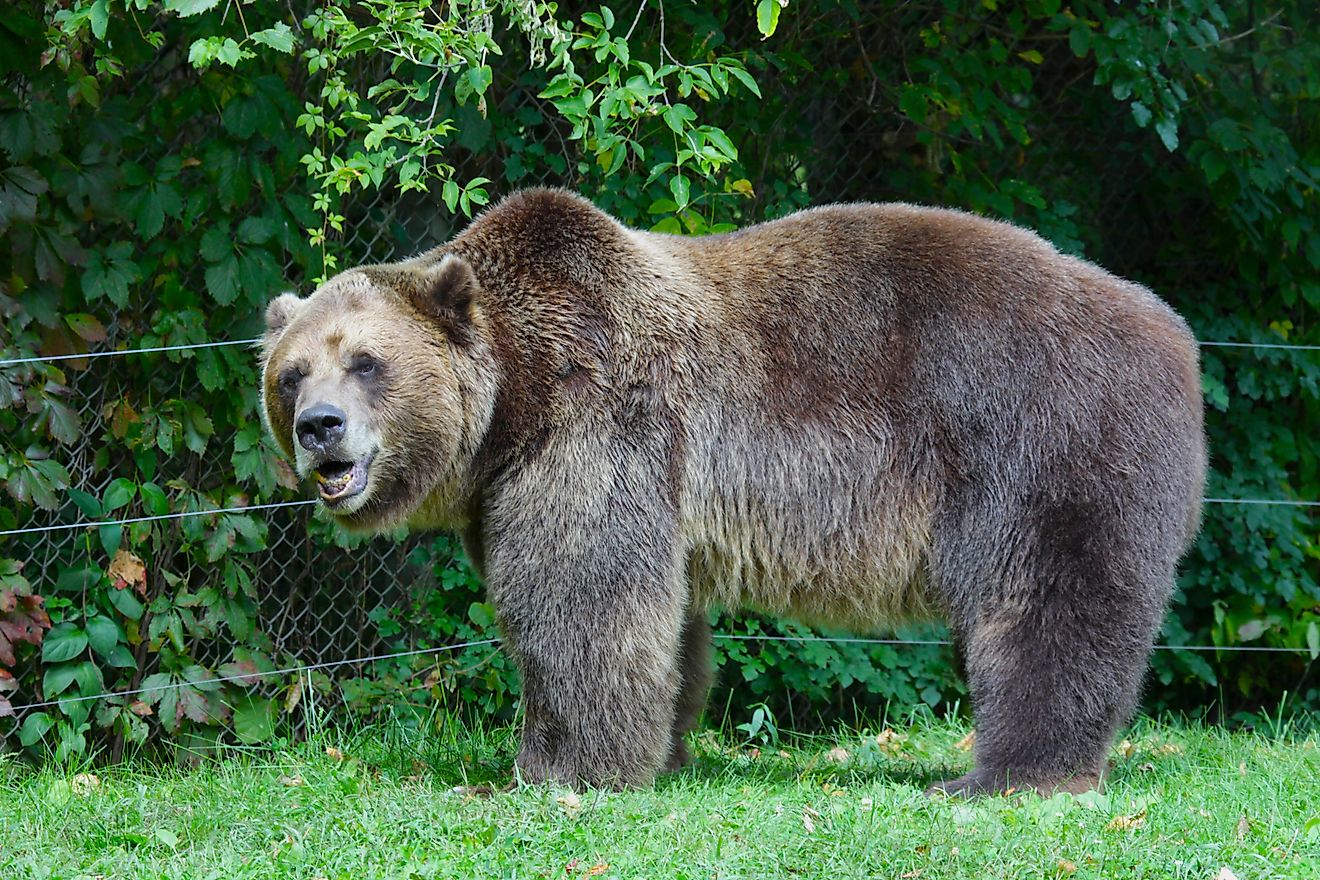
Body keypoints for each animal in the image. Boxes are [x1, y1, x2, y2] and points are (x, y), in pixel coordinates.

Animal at [257, 189, 1209, 796]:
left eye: (366, 361)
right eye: (291, 372)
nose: (320, 427)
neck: (512, 399)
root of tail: (1174, 333)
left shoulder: (598, 422)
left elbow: (581, 599)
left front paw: (555, 767)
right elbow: (662, 617)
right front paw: (664, 748)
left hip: (1042, 437)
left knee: (1046, 605)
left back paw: (1005, 773)